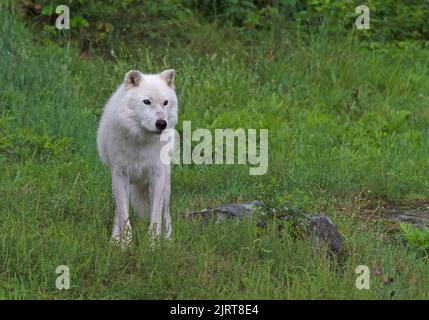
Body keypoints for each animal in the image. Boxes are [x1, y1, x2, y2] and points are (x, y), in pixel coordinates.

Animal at [97, 70, 177, 244]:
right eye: (146, 102)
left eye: (165, 102)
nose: (162, 123)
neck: (141, 140)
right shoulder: (120, 175)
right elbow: (124, 217)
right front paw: (125, 244)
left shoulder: (157, 176)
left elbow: (155, 219)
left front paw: (153, 245)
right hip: (117, 185)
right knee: (118, 212)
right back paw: (114, 240)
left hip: (166, 186)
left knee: (166, 215)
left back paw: (168, 241)